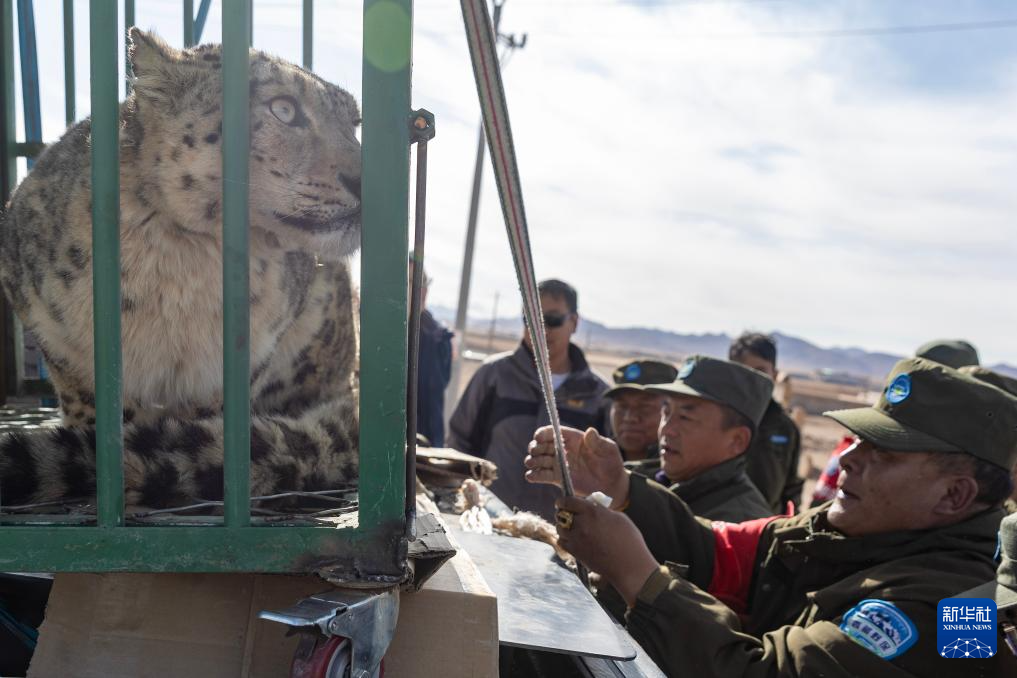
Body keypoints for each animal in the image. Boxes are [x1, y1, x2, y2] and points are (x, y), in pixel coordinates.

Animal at [0, 30, 364, 508]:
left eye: (355, 121)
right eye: (283, 108)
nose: (366, 179)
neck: (179, 271)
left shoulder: (250, 350)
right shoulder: (45, 321)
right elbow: (88, 395)